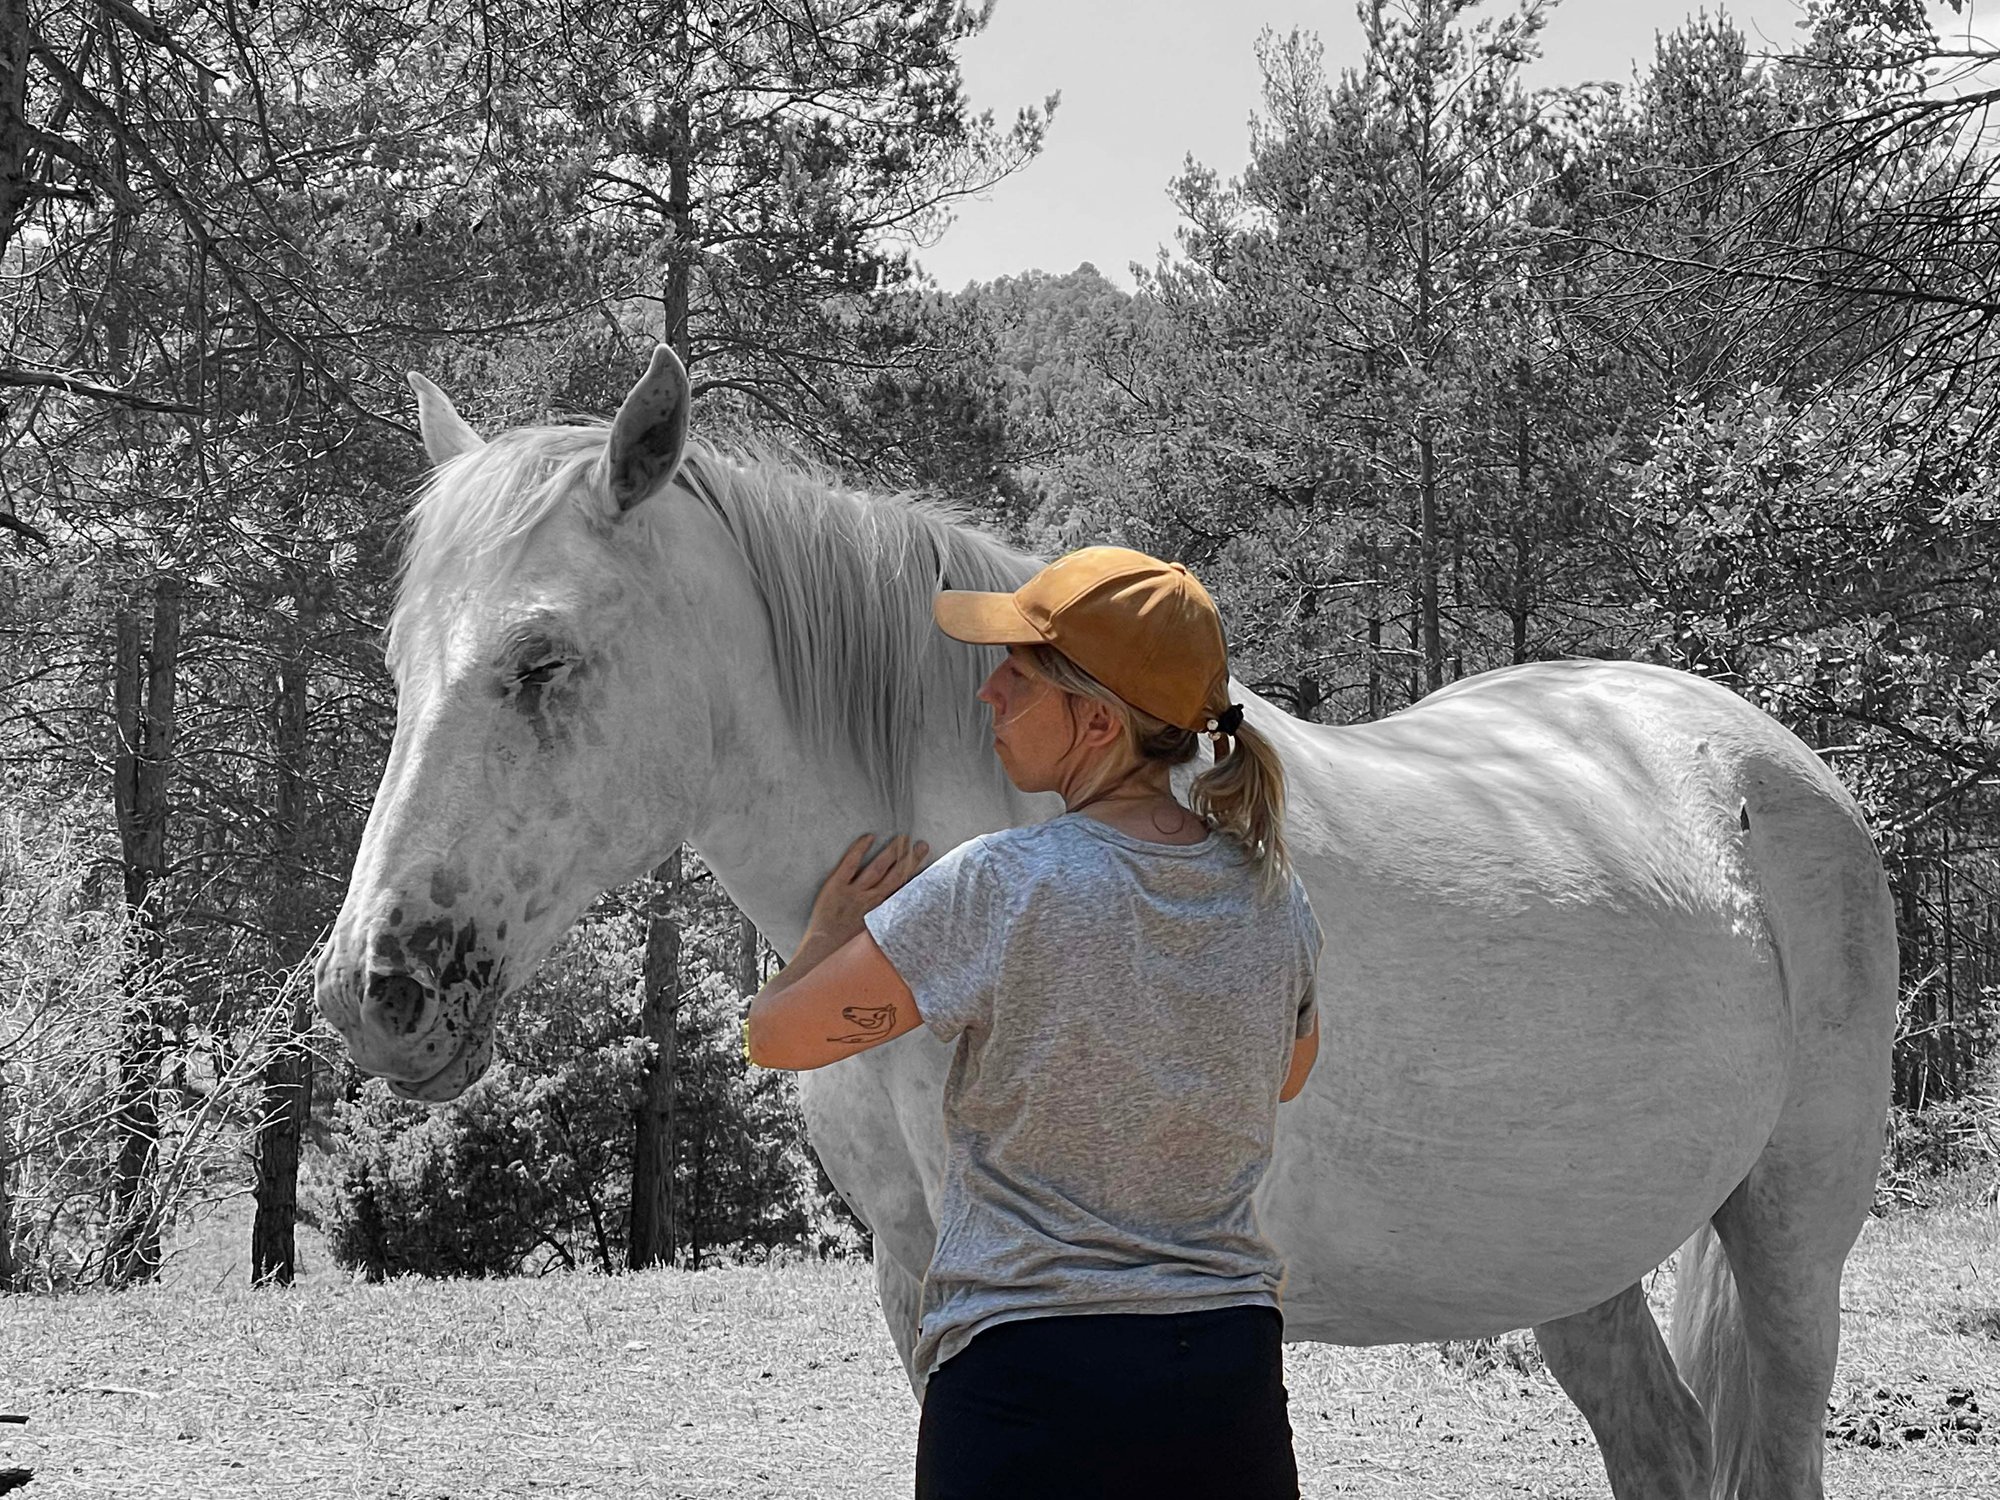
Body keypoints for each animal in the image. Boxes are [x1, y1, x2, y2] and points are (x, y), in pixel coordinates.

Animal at [312, 356, 1888, 1500]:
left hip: (1792, 1241)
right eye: (395, 662)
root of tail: (1759, 757)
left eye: (541, 660)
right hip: (1573, 1260)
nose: (371, 990)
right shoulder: (921, 1278)